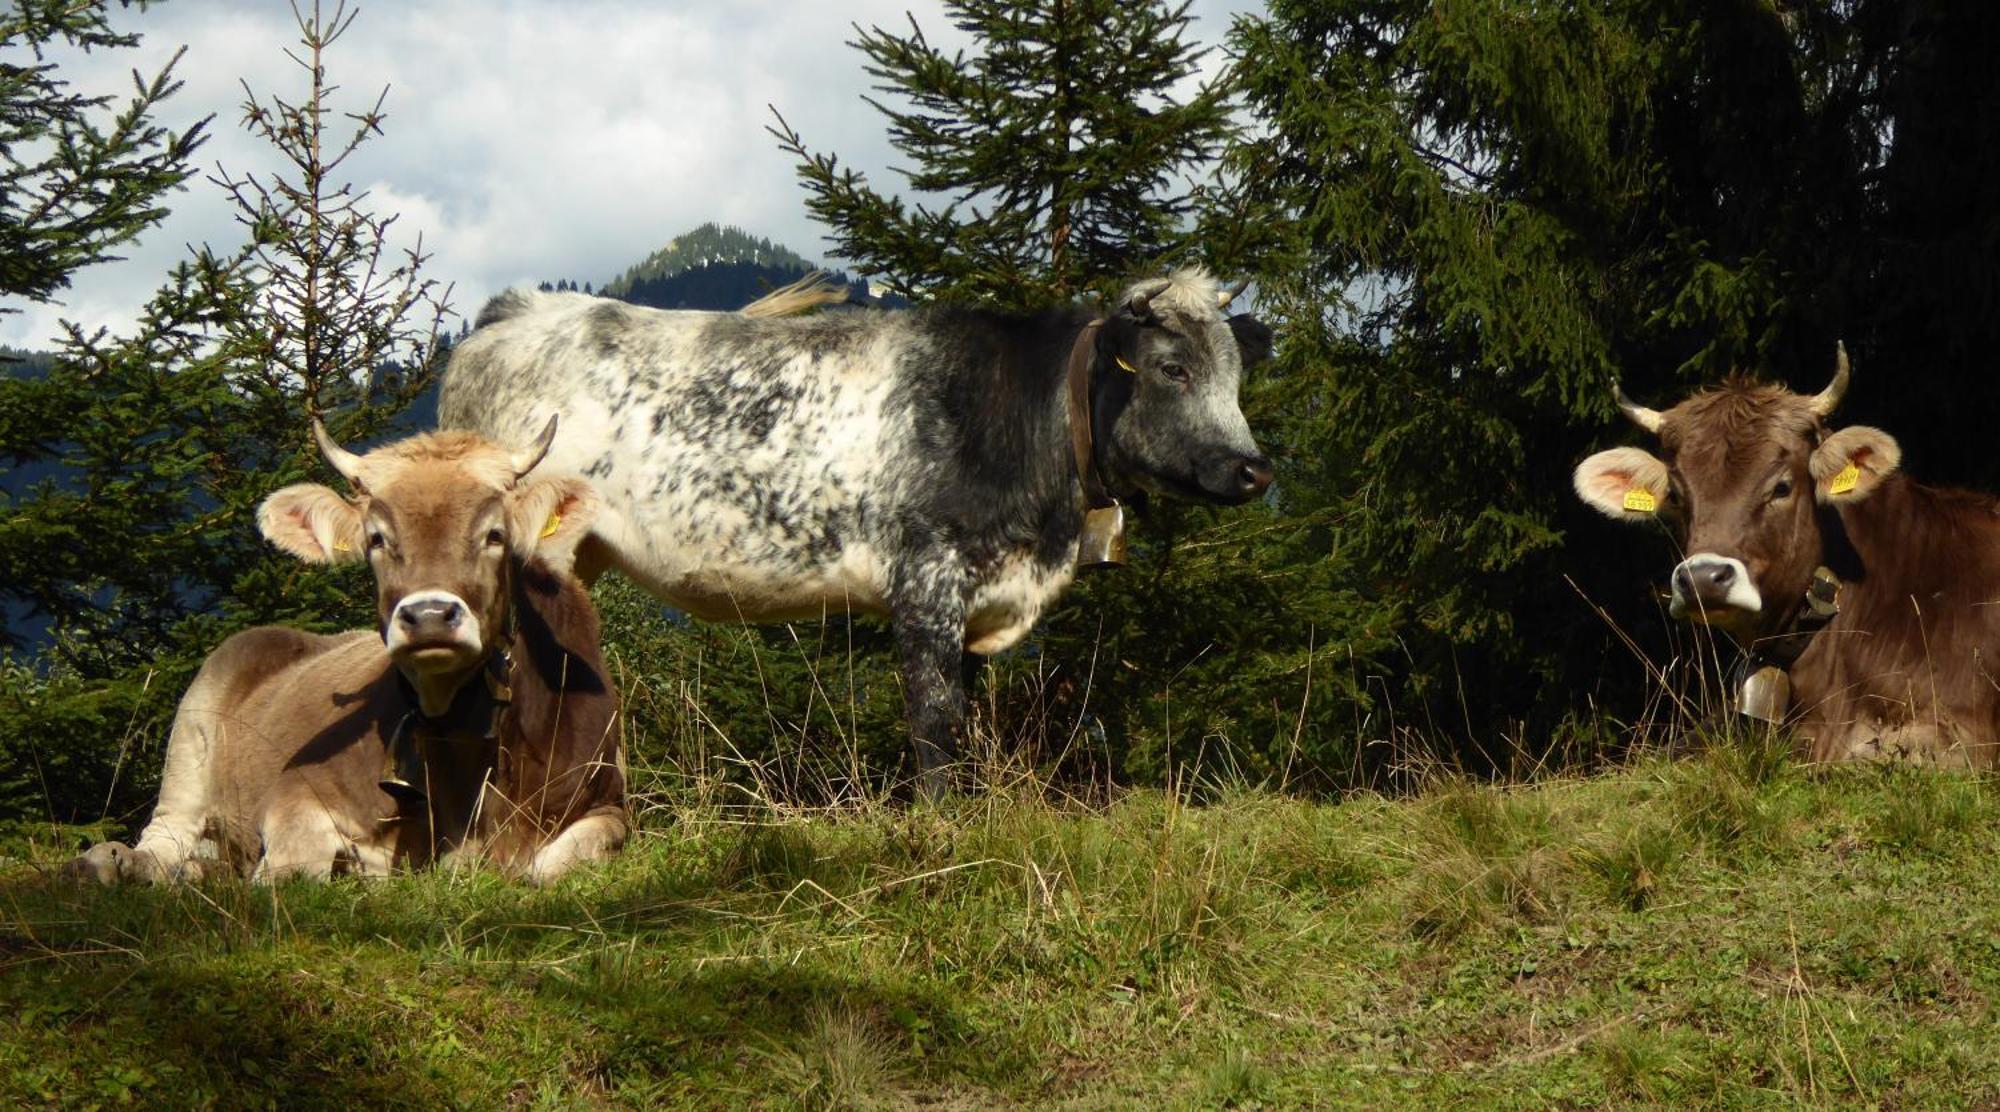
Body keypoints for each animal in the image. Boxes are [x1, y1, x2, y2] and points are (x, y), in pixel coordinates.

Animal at [68, 420, 624, 888]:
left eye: (495, 534)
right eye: (376, 538)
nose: (429, 616)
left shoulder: (606, 804)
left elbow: (554, 865)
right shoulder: (297, 791)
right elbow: (291, 870)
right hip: (190, 739)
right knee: (164, 840)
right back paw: (113, 862)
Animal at [446, 270, 1272, 792]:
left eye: (1236, 375)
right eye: (1171, 369)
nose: (1255, 470)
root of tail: (519, 312)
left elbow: (966, 722)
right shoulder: (927, 584)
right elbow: (936, 726)